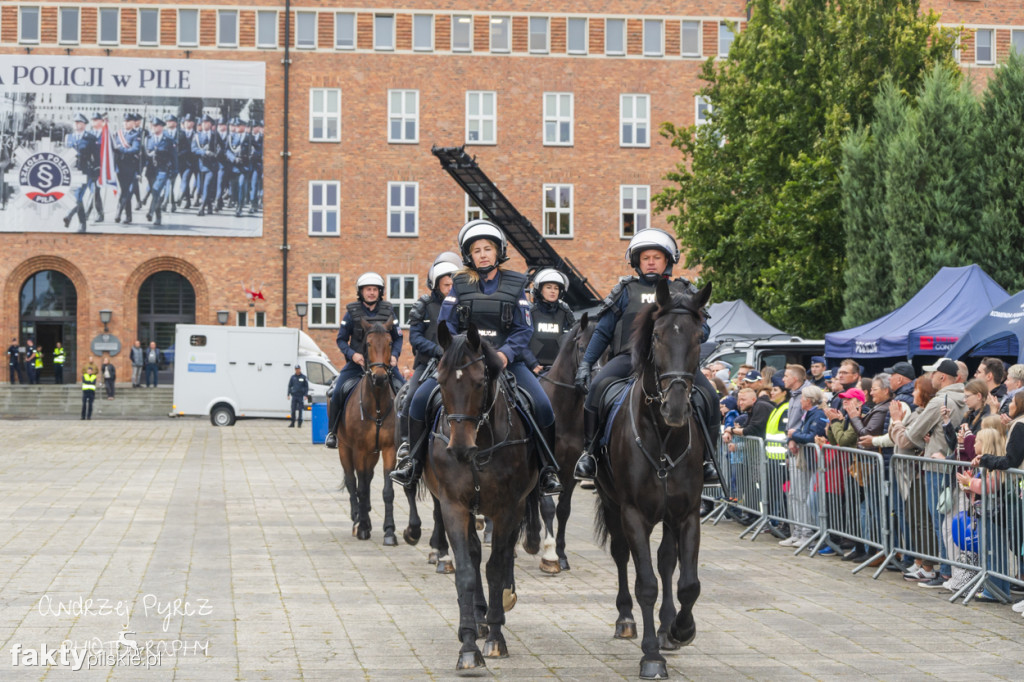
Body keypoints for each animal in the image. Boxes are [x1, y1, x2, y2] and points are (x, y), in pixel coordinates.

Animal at [337, 317, 397, 540]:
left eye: (390, 343)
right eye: (369, 344)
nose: (379, 377)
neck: (377, 405)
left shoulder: (389, 449)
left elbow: (387, 491)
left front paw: (389, 530)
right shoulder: (359, 450)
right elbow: (360, 488)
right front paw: (362, 526)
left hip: (373, 453)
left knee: (368, 478)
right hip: (344, 448)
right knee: (352, 481)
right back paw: (357, 518)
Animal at [423, 323, 544, 667]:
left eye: (479, 382)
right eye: (440, 380)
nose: (460, 448)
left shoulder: (508, 509)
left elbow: (496, 567)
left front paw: (495, 638)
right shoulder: (453, 506)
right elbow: (466, 568)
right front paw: (468, 647)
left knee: (502, 557)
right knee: (476, 554)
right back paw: (478, 619)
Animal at [598, 278, 708, 679]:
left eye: (698, 337)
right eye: (657, 335)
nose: (674, 408)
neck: (662, 437)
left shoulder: (687, 514)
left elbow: (688, 582)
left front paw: (680, 630)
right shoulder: (633, 514)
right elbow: (645, 582)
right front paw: (651, 657)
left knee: (667, 562)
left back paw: (666, 628)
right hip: (611, 503)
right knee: (621, 556)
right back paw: (626, 620)